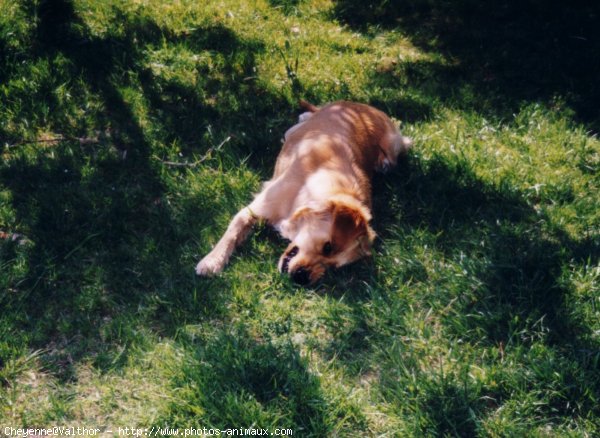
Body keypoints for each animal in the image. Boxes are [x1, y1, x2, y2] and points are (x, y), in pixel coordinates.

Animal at [197, 99, 412, 286]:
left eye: (334, 267)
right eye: (328, 247)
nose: (302, 279)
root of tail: (357, 104)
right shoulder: (253, 210)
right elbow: (232, 233)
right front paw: (212, 261)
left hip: (393, 145)